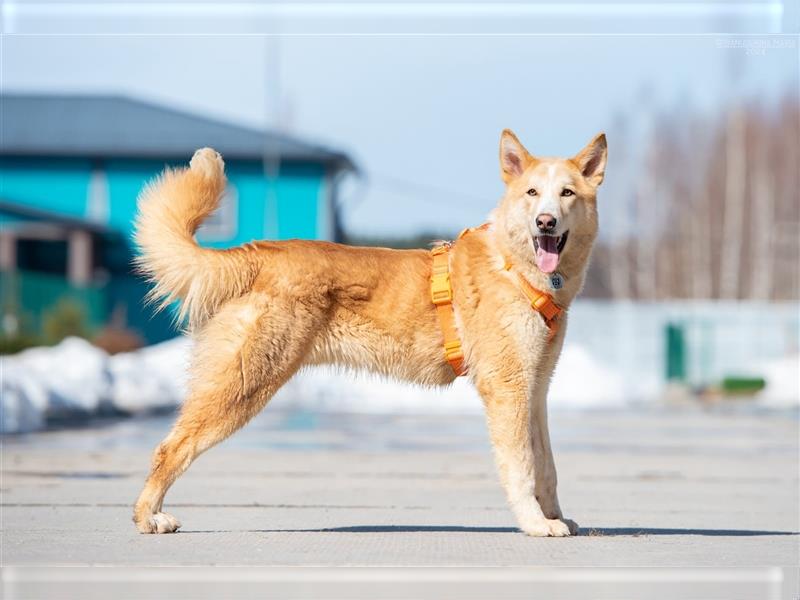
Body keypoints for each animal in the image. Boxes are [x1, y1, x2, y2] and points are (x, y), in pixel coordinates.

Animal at [131, 130, 608, 536]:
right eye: (532, 193)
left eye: (567, 193)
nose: (545, 222)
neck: (515, 267)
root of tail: (259, 253)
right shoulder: (508, 389)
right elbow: (522, 467)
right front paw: (535, 524)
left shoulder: (535, 391)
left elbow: (546, 467)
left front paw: (555, 517)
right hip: (244, 384)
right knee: (170, 448)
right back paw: (148, 516)